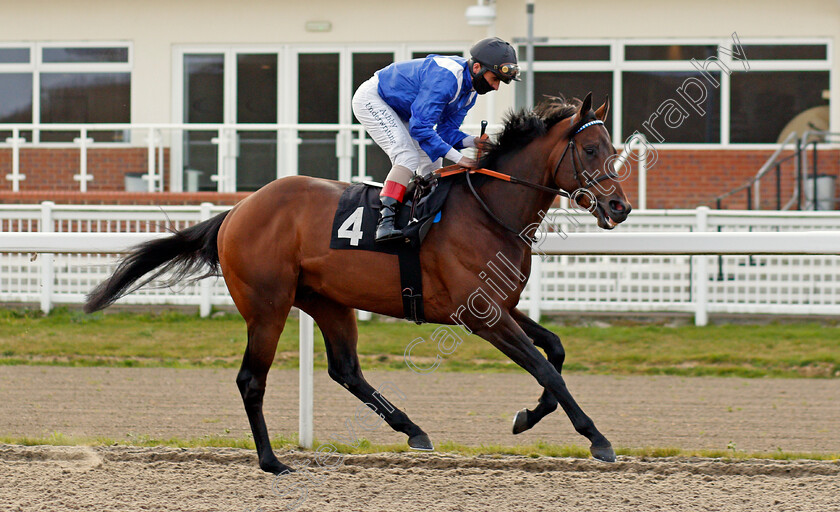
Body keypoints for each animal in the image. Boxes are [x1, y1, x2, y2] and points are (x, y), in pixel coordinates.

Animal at [87, 92, 632, 472]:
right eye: (589, 149)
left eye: (614, 149)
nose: (620, 206)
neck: (488, 211)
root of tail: (238, 210)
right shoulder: (483, 317)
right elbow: (545, 369)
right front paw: (598, 439)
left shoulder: (500, 306)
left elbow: (555, 350)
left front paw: (526, 418)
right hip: (268, 306)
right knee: (251, 379)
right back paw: (272, 462)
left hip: (328, 302)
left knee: (345, 369)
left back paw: (412, 429)